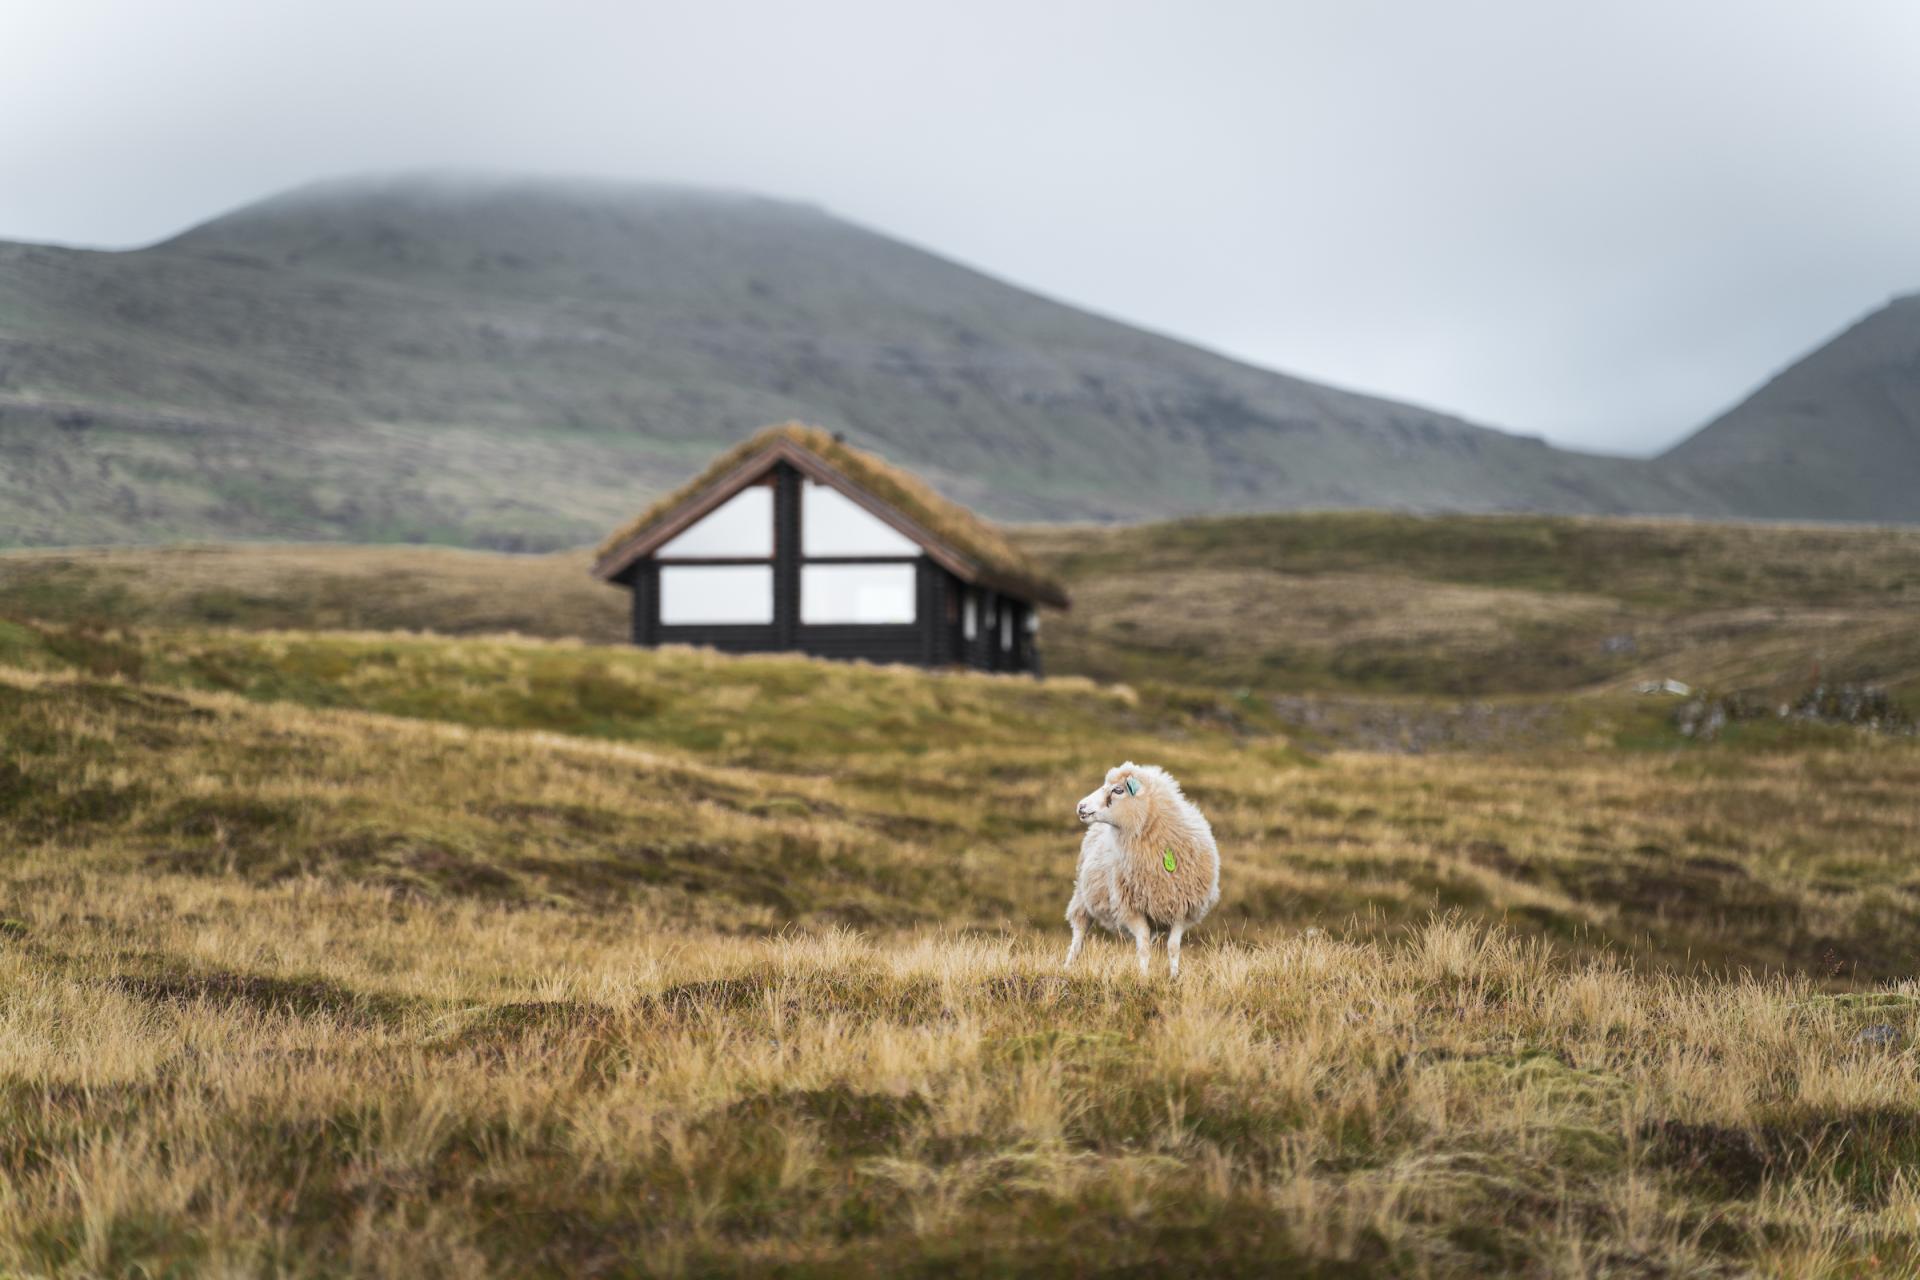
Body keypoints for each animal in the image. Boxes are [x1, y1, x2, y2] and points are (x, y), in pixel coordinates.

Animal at [1067, 759, 1213, 982]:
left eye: (1118, 790)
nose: (1081, 806)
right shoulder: (1131, 908)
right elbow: (1143, 946)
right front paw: (1143, 978)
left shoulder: (1182, 906)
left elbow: (1173, 947)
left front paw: (1174, 978)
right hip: (1083, 896)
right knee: (1079, 934)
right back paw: (1067, 967)